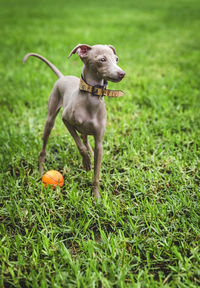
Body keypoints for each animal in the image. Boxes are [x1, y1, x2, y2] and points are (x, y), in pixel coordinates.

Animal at [23, 44, 125, 197]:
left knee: (85, 139)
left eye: (116, 59)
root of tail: (63, 77)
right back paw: (41, 169)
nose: (122, 73)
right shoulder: (66, 120)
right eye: (102, 59)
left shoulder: (99, 141)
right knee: (45, 147)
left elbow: (96, 173)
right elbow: (80, 146)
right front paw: (86, 162)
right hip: (50, 120)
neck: (91, 97)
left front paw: (96, 196)